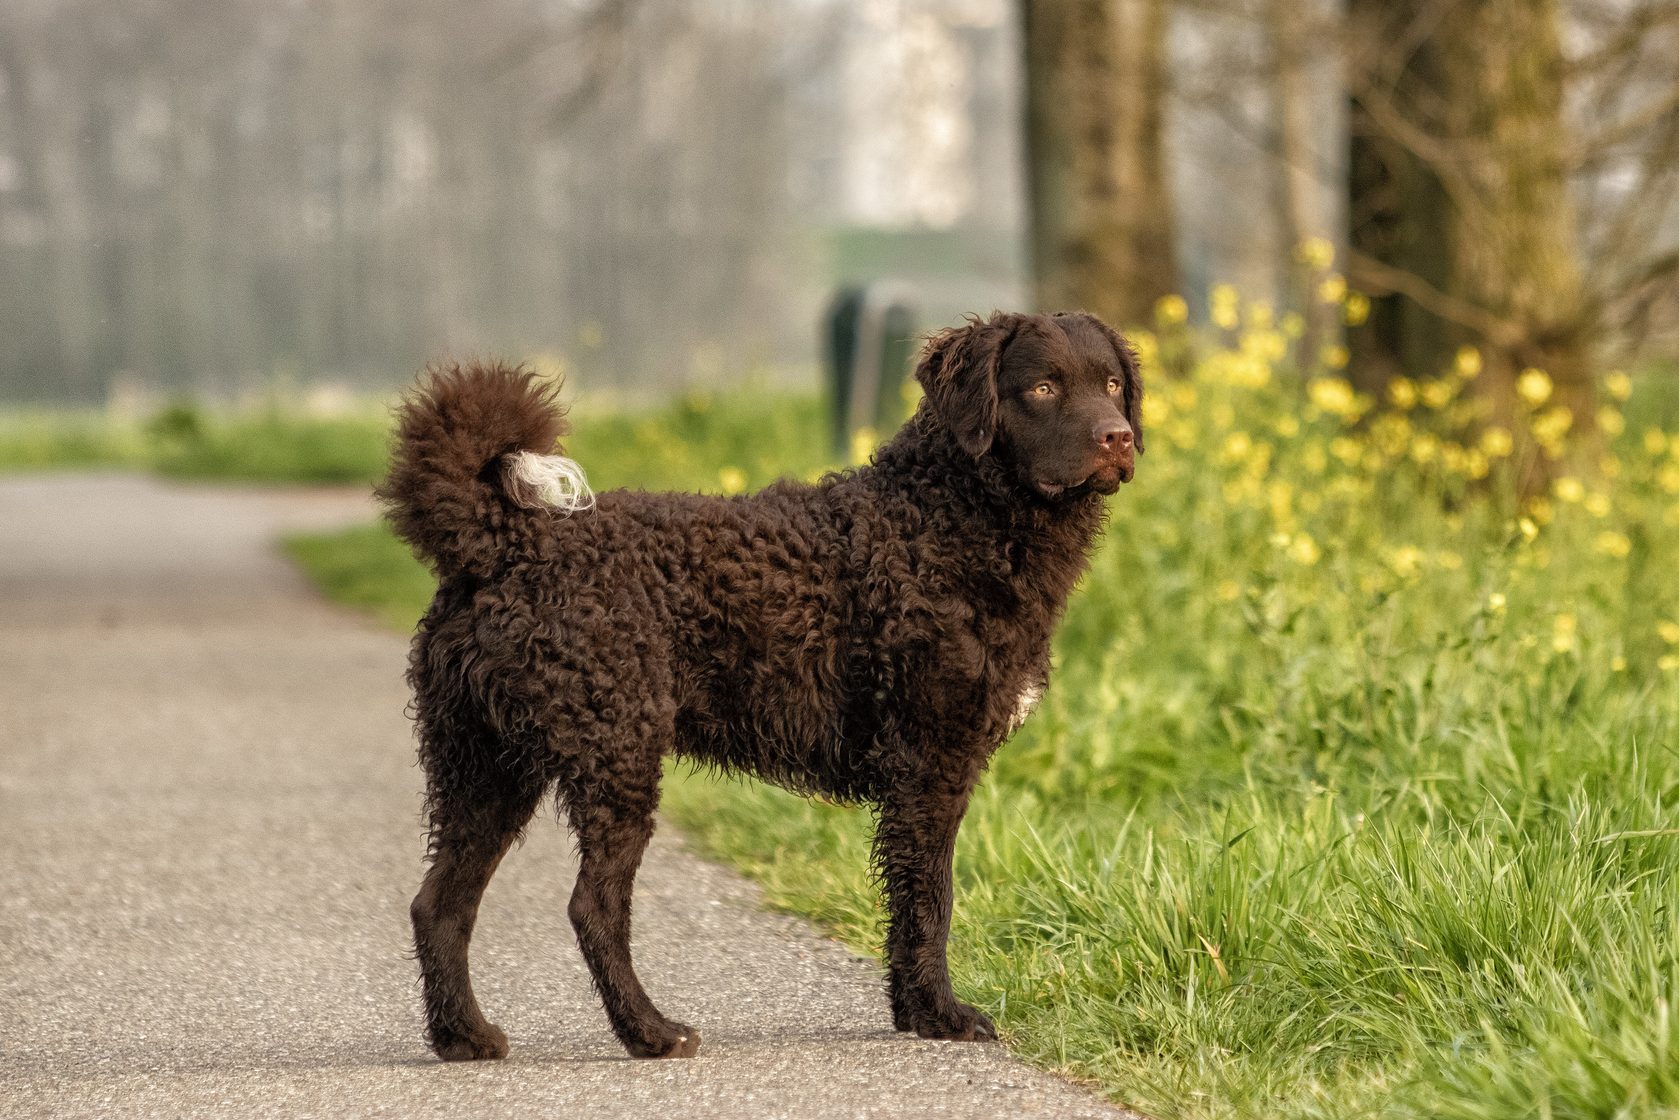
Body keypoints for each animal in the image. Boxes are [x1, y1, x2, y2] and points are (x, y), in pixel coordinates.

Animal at [379, 310, 1141, 1067]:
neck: (942, 519)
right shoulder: (930, 762)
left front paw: (910, 1012)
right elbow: (931, 900)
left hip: (485, 768)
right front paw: (942, 1015)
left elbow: (906, 904)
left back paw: (464, 1036)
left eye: (1110, 384)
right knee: (590, 908)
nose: (1119, 437)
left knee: (439, 904)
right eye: (1042, 387)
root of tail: (504, 543)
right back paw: (650, 1031)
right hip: (614, 757)